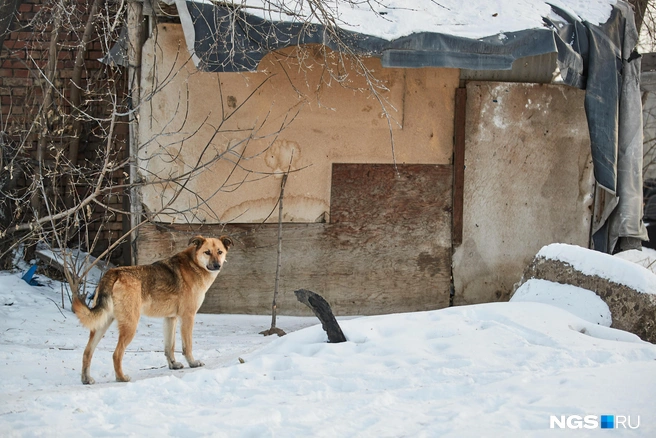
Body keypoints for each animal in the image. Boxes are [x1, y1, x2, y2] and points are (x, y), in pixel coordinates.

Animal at [72, 236, 233, 384]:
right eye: (207, 252)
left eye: (220, 252)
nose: (217, 265)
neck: (195, 264)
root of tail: (113, 272)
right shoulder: (188, 317)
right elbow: (187, 346)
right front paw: (192, 363)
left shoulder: (170, 319)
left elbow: (169, 347)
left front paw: (173, 365)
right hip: (130, 325)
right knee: (116, 354)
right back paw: (121, 378)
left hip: (102, 325)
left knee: (87, 352)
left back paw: (86, 379)